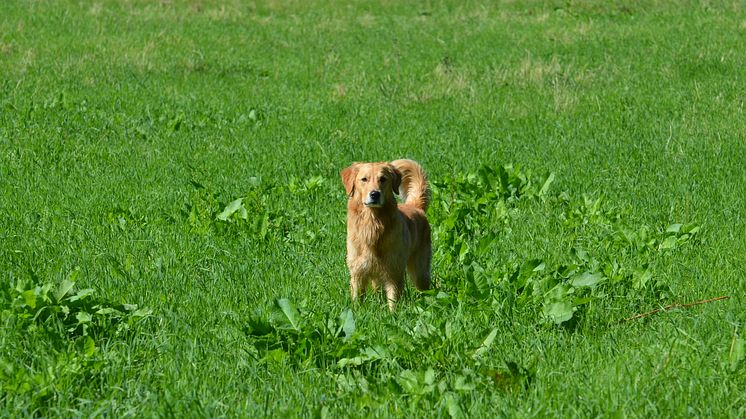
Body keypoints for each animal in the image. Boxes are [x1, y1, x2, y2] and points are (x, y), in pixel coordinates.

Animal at [342, 160, 434, 312]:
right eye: (364, 179)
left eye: (383, 179)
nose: (375, 194)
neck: (372, 224)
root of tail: (416, 206)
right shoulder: (357, 272)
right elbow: (357, 299)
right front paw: (356, 312)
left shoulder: (394, 271)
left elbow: (393, 300)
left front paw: (393, 315)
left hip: (420, 271)